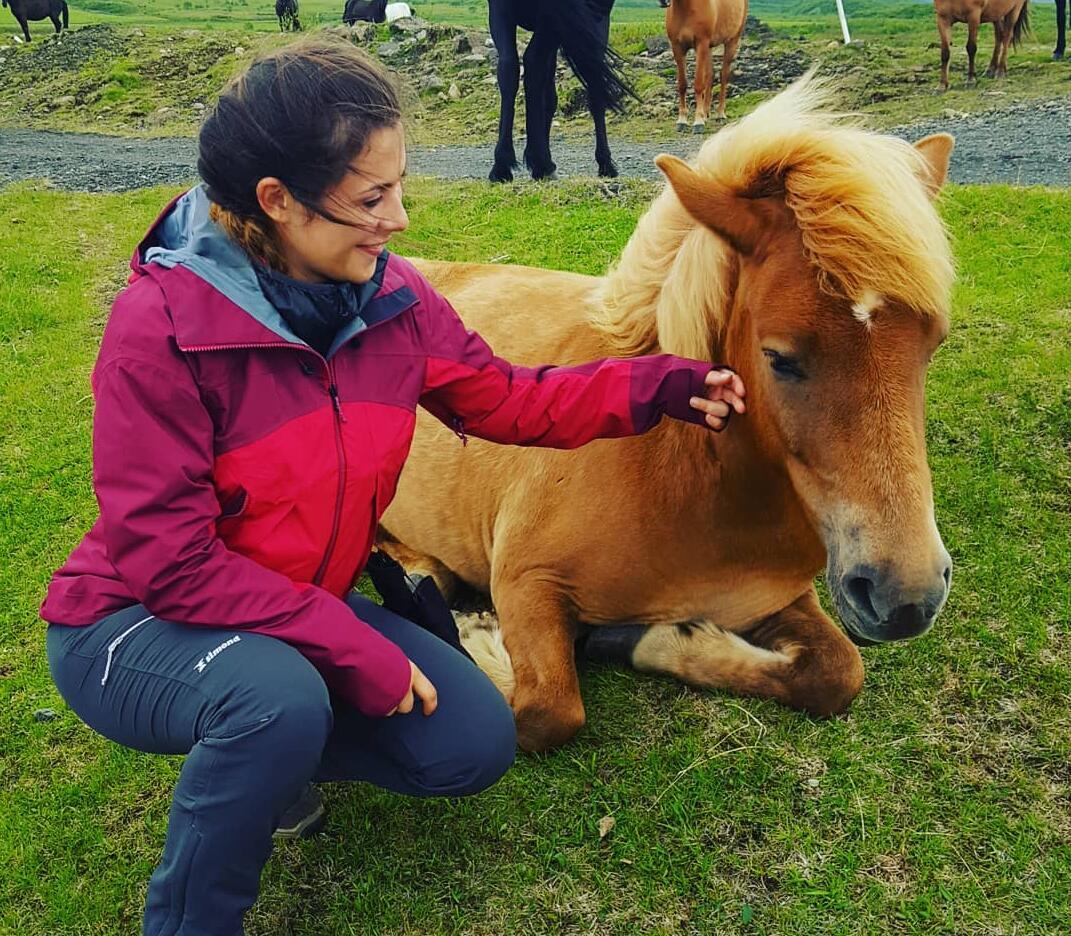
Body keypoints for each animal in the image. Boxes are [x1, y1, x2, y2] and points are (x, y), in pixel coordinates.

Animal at [381, 72, 959, 749]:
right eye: (779, 357)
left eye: (933, 343)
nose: (905, 596)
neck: (685, 481)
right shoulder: (526, 583)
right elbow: (545, 709)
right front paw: (473, 637)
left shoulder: (776, 599)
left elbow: (837, 672)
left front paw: (651, 638)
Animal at [488, 0, 629, 180]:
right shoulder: (596, 23)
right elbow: (595, 93)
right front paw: (605, 163)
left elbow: (549, 97)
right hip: (552, 23)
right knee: (532, 63)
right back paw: (542, 163)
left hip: (502, 12)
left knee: (509, 68)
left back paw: (503, 166)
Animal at [664, 0, 749, 132]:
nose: (663, 2)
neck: (686, 8)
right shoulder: (677, 48)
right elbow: (682, 84)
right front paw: (682, 121)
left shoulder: (701, 44)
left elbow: (699, 84)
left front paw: (698, 122)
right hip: (709, 47)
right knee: (710, 75)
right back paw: (706, 113)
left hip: (732, 41)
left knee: (723, 76)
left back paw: (720, 114)